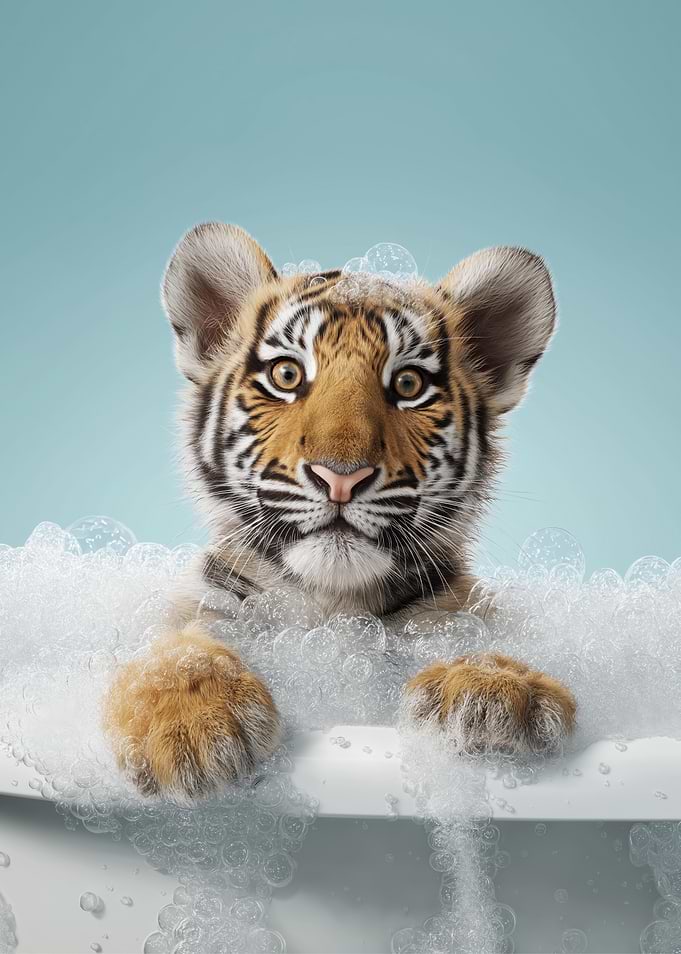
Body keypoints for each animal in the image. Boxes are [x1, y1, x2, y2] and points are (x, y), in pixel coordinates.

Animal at [104, 222, 576, 800]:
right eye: (286, 375)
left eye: (408, 385)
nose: (341, 476)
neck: (330, 609)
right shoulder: (195, 607)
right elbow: (176, 649)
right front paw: (193, 727)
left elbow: (475, 641)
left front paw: (496, 688)